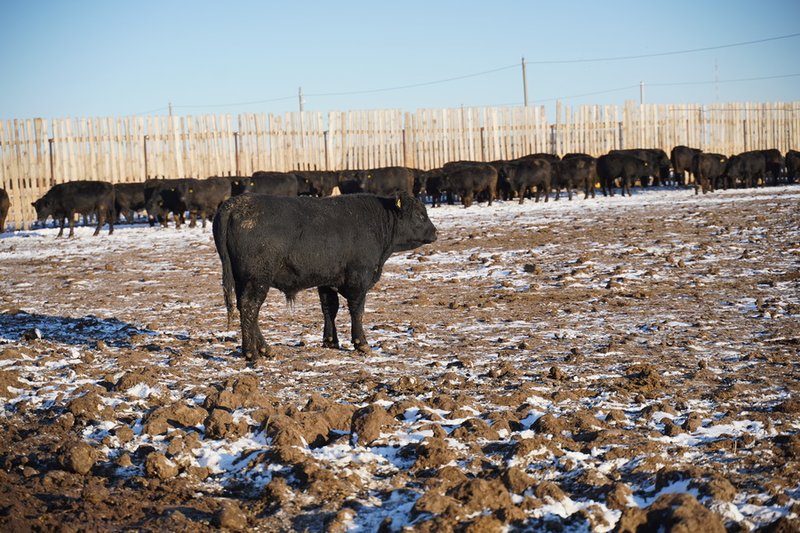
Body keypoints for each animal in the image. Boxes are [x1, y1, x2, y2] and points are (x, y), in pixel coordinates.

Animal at [212, 192, 438, 362]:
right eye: (420, 214)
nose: (435, 232)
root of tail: (234, 203)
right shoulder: (359, 278)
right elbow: (357, 311)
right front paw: (361, 343)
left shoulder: (328, 281)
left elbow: (330, 308)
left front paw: (330, 341)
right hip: (258, 279)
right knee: (250, 307)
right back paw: (251, 352)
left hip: (244, 279)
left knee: (246, 309)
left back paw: (264, 348)